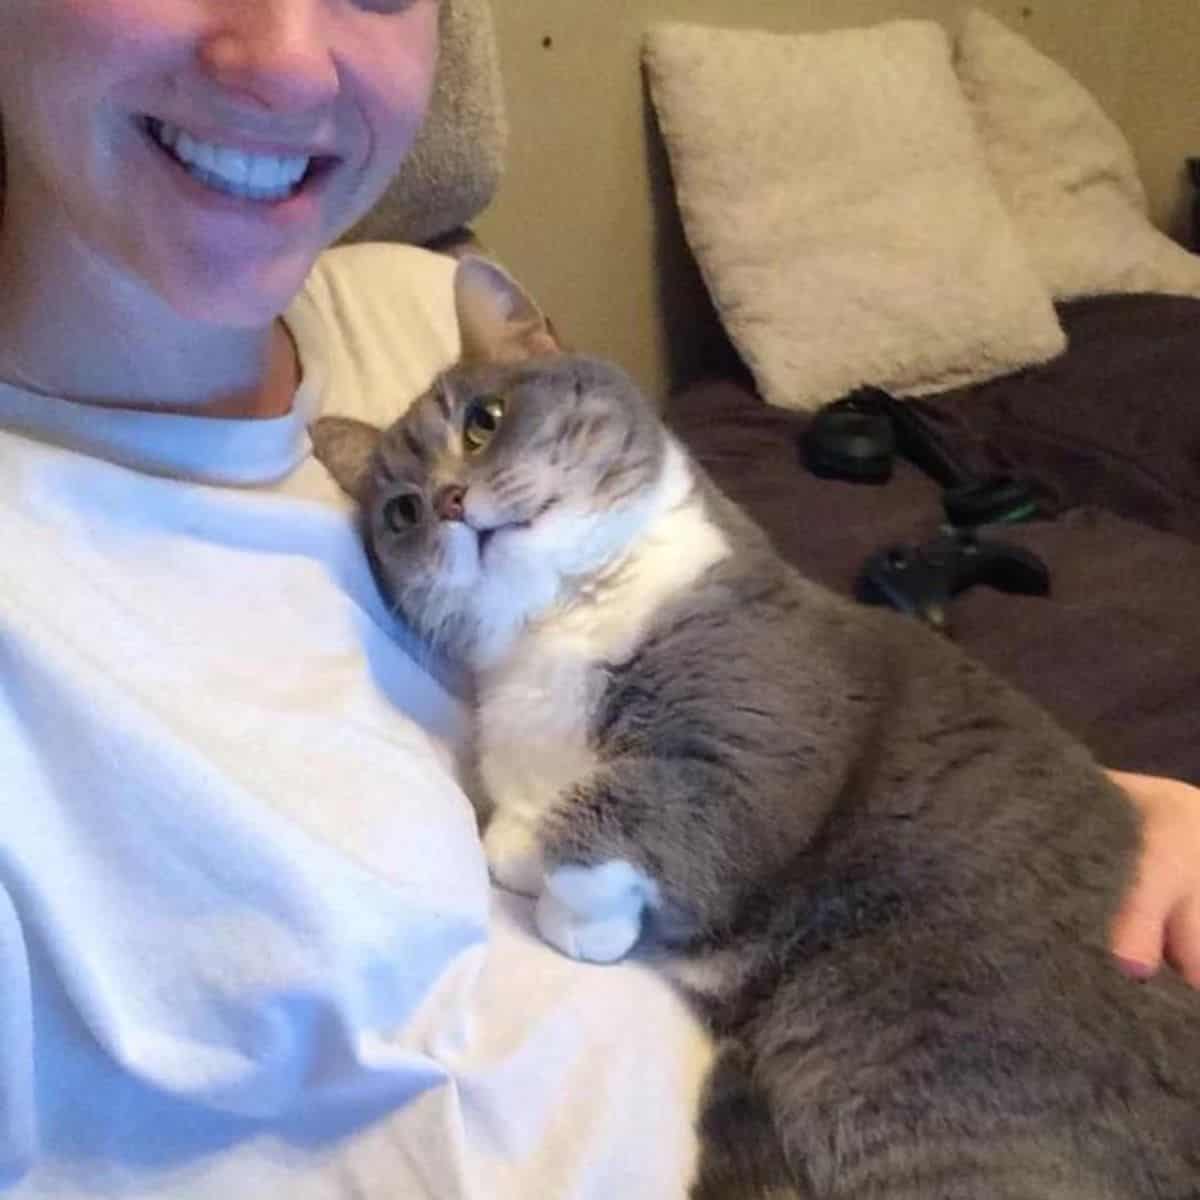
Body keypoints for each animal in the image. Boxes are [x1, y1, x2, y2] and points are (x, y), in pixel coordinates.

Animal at [312, 260, 1200, 1200]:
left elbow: (602, 814)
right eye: (401, 513)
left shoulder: (755, 743)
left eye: (484, 420)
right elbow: (516, 832)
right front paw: (536, 863)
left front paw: (578, 918)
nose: (447, 501)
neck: (556, 628)